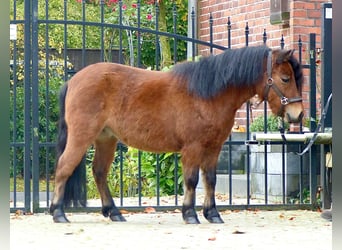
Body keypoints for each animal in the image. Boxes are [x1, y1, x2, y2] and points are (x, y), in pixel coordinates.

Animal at [49, 45, 304, 225]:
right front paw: (190, 214)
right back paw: (58, 213)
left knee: (99, 173)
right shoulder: (193, 147)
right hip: (82, 136)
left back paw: (114, 213)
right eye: (285, 78)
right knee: (64, 168)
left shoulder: (214, 147)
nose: (298, 114)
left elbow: (210, 179)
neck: (208, 94)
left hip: (106, 139)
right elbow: (191, 180)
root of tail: (73, 80)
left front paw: (212, 214)